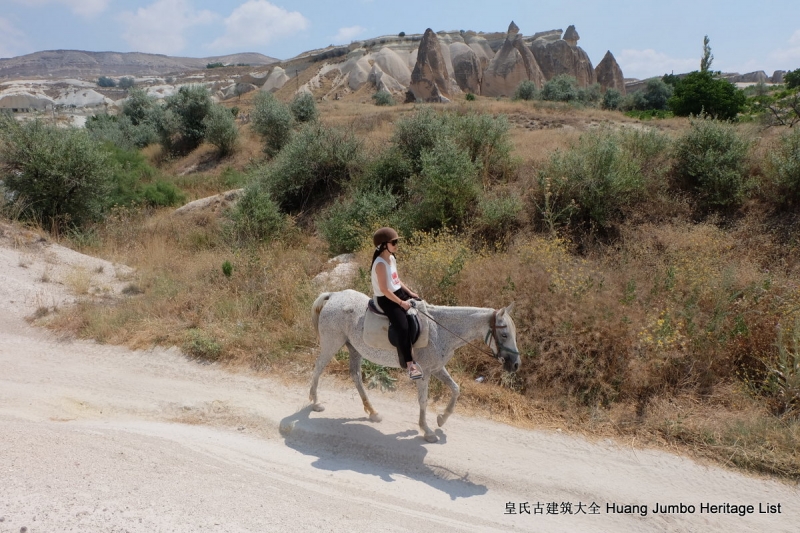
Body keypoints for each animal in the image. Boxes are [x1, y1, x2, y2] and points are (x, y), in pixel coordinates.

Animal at [310, 288, 520, 442]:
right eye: (504, 335)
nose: (516, 364)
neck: (440, 330)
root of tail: (334, 295)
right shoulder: (424, 372)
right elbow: (423, 401)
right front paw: (427, 431)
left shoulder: (437, 368)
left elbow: (455, 389)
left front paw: (442, 418)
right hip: (332, 343)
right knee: (318, 368)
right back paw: (315, 402)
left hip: (354, 348)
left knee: (355, 376)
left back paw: (373, 412)